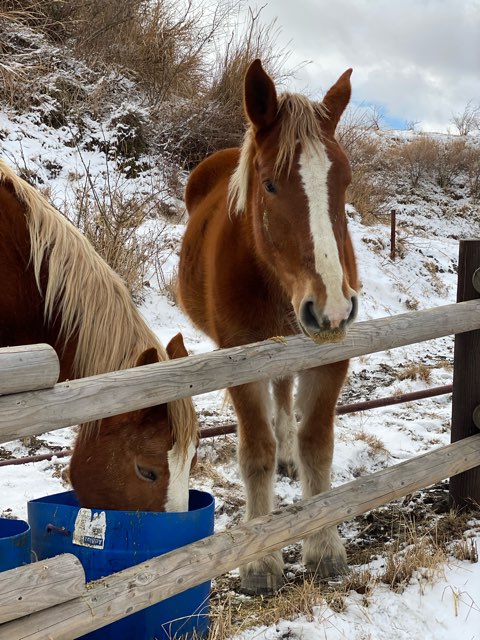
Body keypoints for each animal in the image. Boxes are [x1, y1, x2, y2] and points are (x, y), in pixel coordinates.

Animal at [178, 60, 358, 596]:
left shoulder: (329, 355)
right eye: (271, 184)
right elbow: (256, 452)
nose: (332, 307)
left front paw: (324, 545)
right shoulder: (241, 362)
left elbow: (318, 447)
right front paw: (260, 561)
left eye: (344, 182)